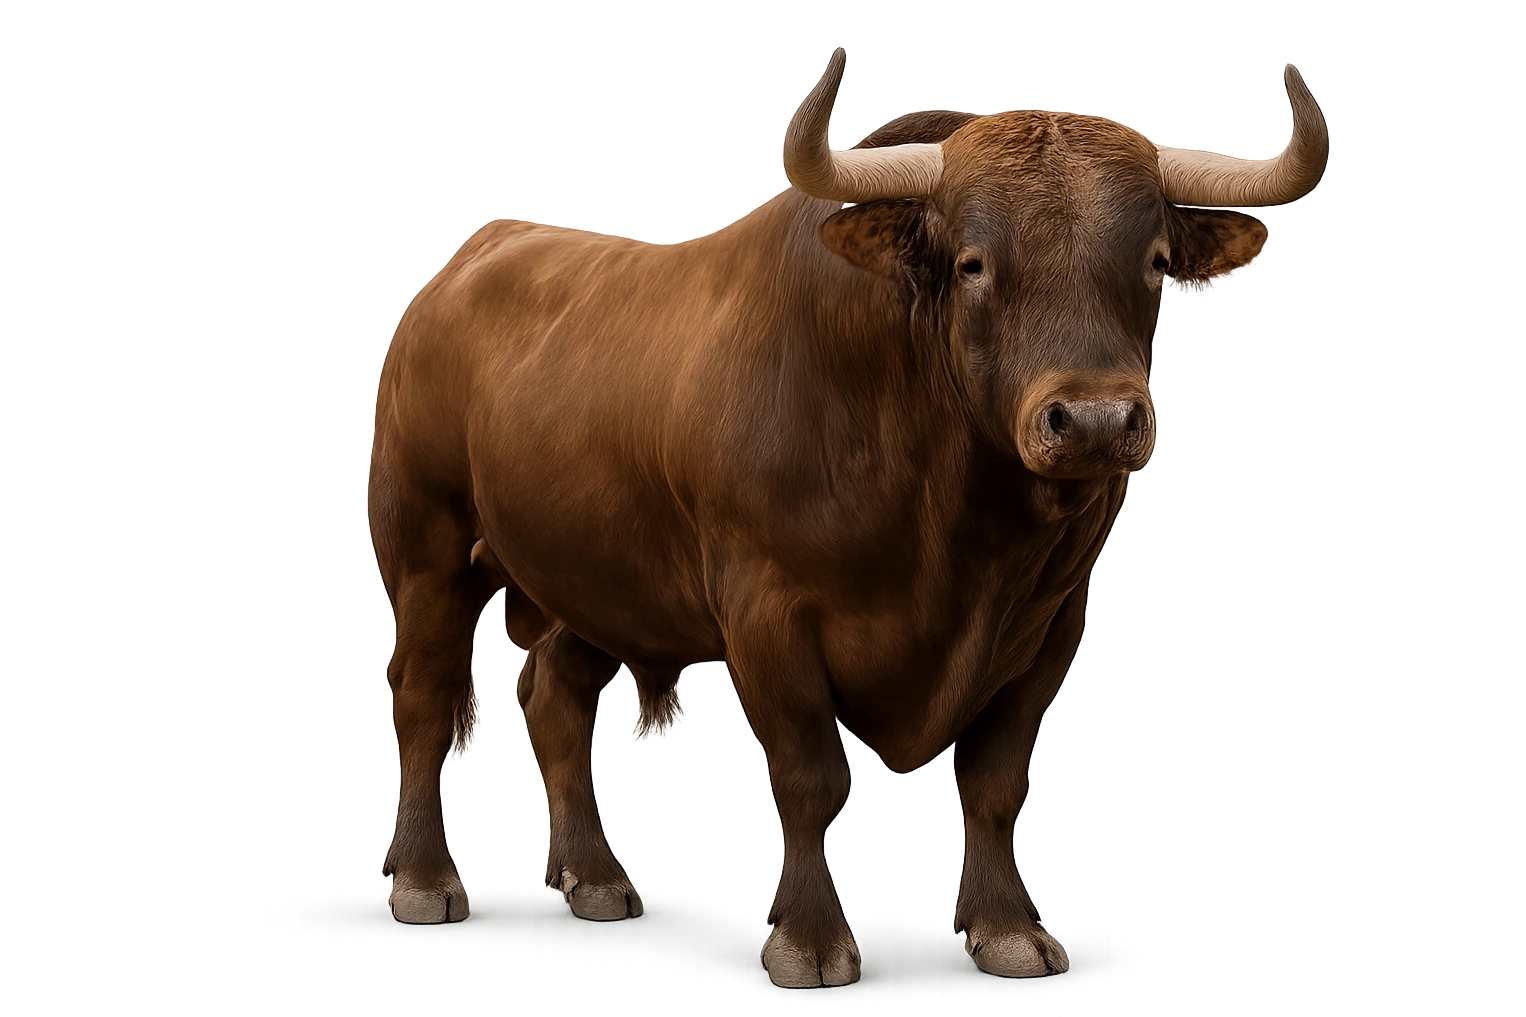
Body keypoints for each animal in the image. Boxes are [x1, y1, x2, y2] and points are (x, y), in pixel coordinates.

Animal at [366, 49, 1328, 987]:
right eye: (974, 263)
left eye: (1155, 261)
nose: (1094, 420)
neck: (960, 533)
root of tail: (470, 261)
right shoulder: (767, 614)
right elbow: (811, 776)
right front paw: (811, 938)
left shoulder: (1050, 625)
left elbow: (993, 782)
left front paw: (1008, 928)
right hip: (429, 546)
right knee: (422, 696)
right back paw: (423, 878)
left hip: (601, 580)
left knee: (556, 697)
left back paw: (596, 877)